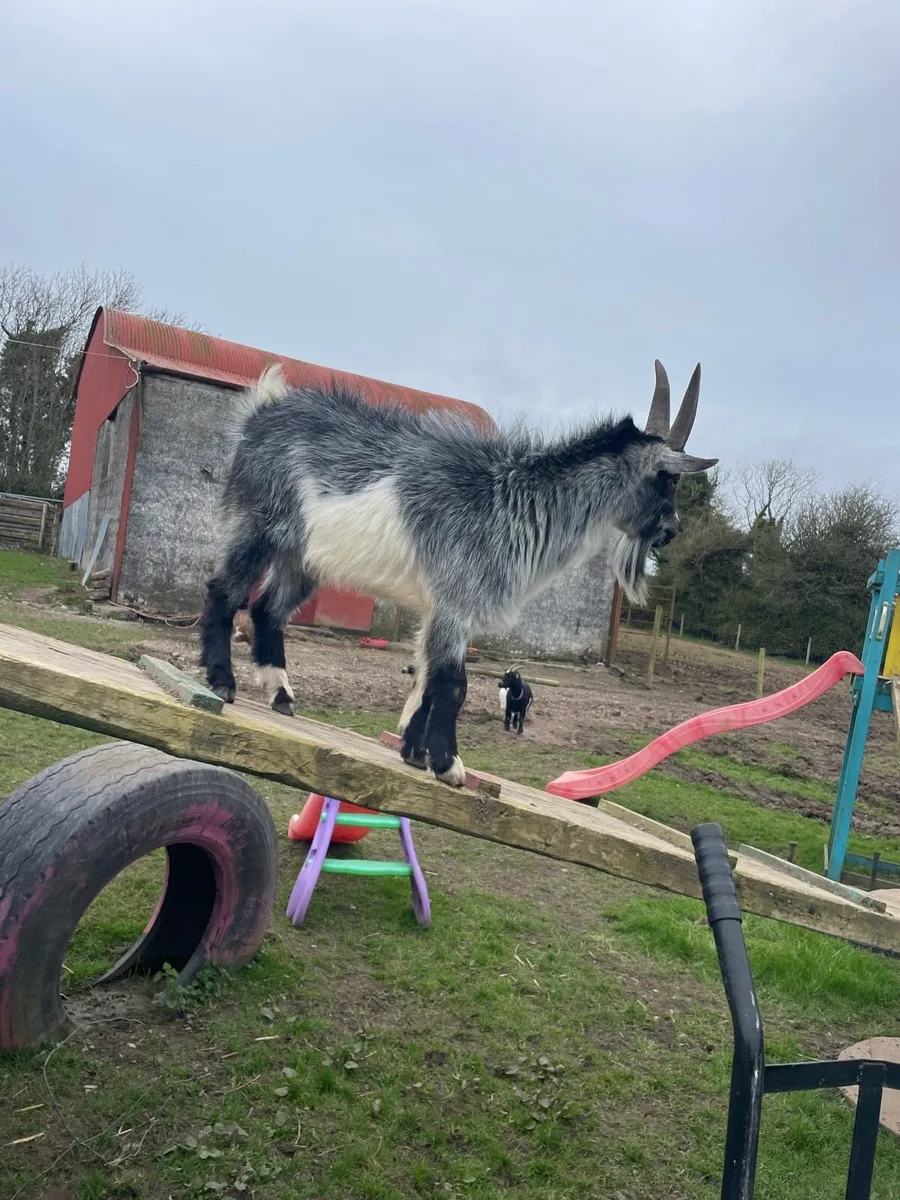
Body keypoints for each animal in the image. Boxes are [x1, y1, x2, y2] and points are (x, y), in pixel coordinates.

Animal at [200, 359, 717, 787]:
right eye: (667, 478)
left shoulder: (442, 609)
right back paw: (222, 682)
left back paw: (281, 695)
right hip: (258, 524)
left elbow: (427, 677)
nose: (671, 530)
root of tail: (263, 411)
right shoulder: (456, 599)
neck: (514, 502)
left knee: (268, 609)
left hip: (302, 556)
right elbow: (453, 683)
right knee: (225, 591)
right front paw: (448, 764)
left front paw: (413, 751)